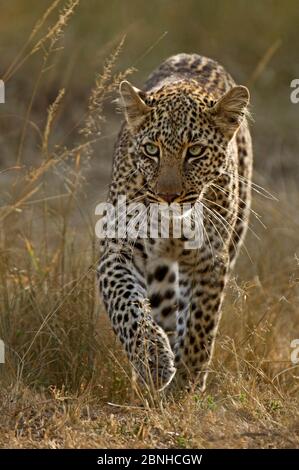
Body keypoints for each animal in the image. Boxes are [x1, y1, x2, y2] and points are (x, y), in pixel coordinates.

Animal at [98, 51, 253, 392]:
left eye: (194, 151)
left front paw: (188, 383)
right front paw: (153, 359)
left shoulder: (211, 258)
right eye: (150, 149)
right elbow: (127, 304)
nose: (168, 195)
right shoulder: (118, 248)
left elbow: (200, 323)